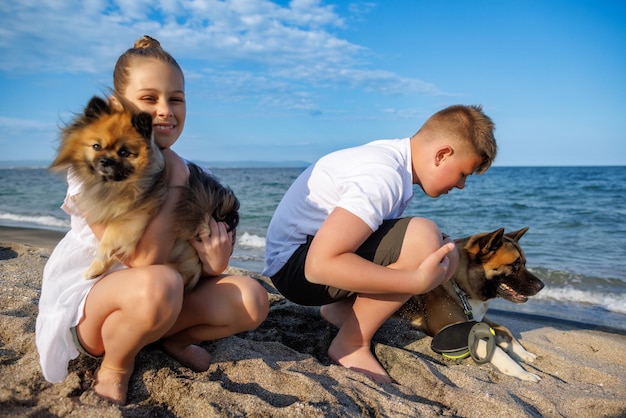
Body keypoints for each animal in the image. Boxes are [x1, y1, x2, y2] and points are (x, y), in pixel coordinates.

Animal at [50, 95, 239, 292]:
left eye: (124, 152)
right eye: (96, 146)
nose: (104, 160)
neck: (117, 185)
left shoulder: (134, 217)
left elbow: (109, 241)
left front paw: (95, 267)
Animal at [398, 227, 544, 380]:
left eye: (524, 263)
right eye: (515, 265)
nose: (542, 286)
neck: (459, 286)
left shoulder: (478, 319)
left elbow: (505, 330)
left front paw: (523, 353)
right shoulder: (446, 329)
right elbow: (497, 350)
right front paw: (522, 372)